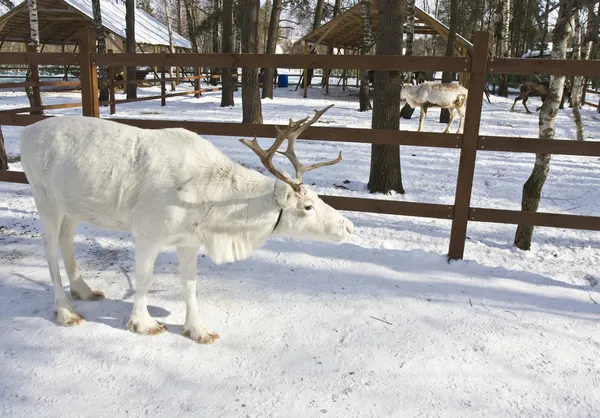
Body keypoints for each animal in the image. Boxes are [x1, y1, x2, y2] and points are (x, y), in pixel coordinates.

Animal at [21, 104, 354, 342]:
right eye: (308, 206)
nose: (348, 226)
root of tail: (25, 132)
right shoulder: (147, 233)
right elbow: (144, 279)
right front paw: (143, 324)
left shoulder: (189, 240)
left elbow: (190, 285)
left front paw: (198, 330)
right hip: (46, 199)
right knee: (49, 249)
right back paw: (65, 311)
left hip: (72, 207)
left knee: (66, 241)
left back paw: (85, 290)